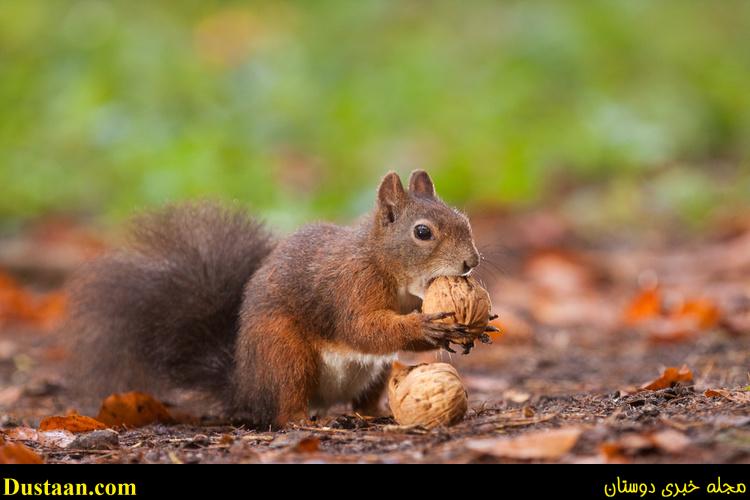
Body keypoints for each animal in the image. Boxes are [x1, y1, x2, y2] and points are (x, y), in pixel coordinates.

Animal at [67, 171, 490, 426]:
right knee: (286, 406)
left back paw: (375, 413)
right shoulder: (351, 287)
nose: (471, 262)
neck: (386, 266)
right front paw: (427, 326)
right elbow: (362, 328)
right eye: (422, 232)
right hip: (284, 353)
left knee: (364, 399)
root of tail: (244, 385)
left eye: (464, 219)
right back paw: (308, 421)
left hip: (375, 372)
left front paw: (469, 331)